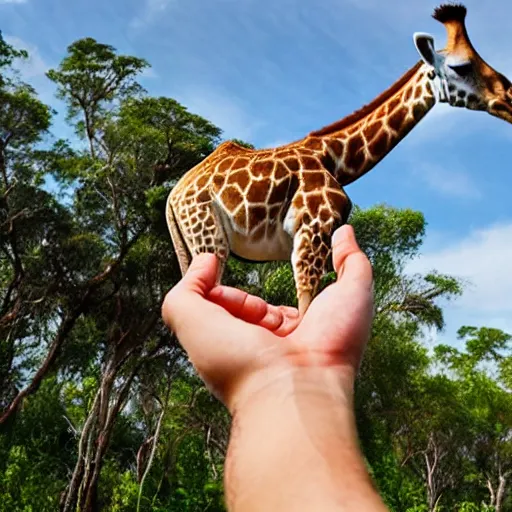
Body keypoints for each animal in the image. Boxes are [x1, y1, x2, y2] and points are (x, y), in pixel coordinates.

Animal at [167, 4, 512, 316]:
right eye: (462, 66)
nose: (508, 98)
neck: (336, 159)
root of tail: (174, 196)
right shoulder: (311, 234)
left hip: (190, 247)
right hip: (211, 239)